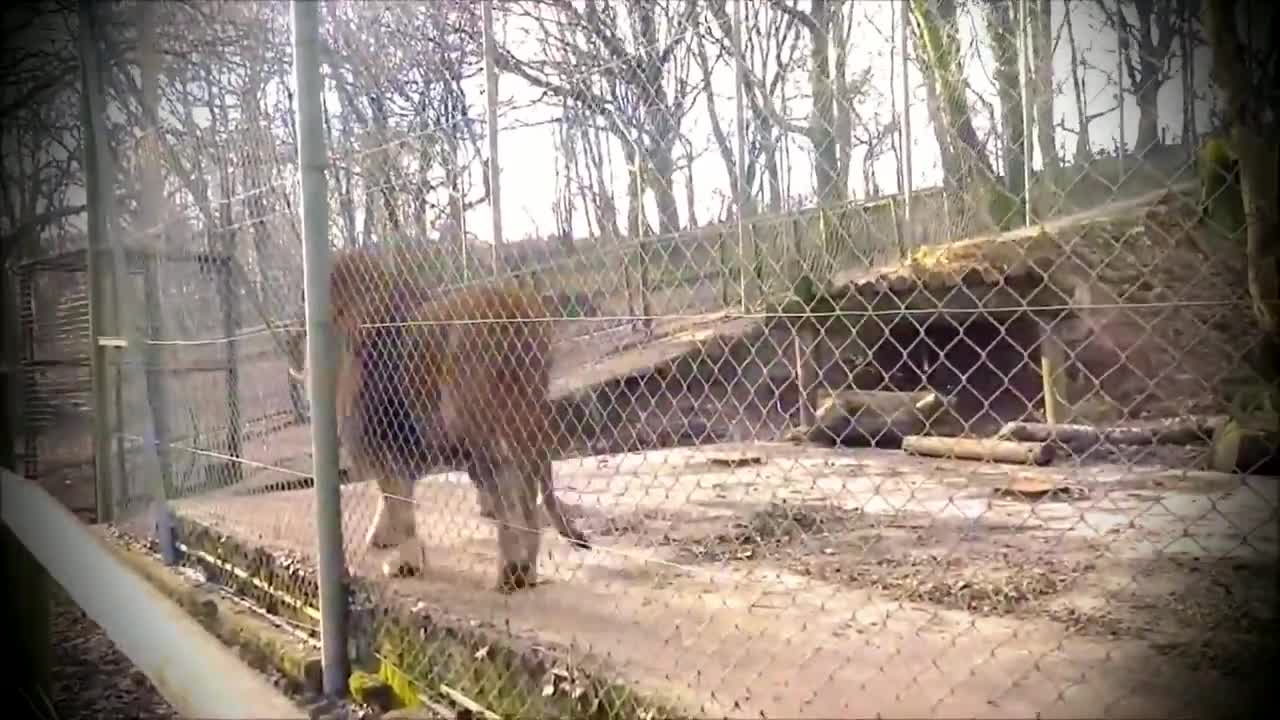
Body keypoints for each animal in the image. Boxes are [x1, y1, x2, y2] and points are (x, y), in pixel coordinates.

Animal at [290, 243, 588, 591]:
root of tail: (515, 310)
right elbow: (393, 499)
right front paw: (385, 539)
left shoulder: (378, 442)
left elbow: (398, 503)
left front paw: (404, 562)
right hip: (520, 423)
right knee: (526, 492)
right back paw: (524, 571)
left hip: (478, 428)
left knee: (509, 498)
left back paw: (512, 572)